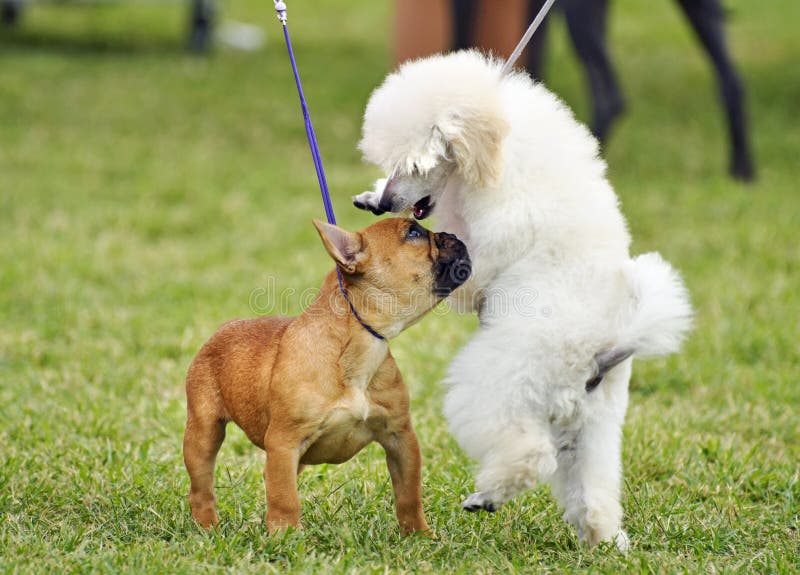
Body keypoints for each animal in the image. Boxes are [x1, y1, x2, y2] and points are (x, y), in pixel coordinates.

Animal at [183, 217, 468, 536]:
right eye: (414, 233)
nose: (452, 234)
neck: (358, 346)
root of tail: (224, 328)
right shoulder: (284, 442)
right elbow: (286, 499)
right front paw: (285, 537)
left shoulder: (400, 437)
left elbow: (409, 494)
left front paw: (418, 535)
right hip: (204, 433)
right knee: (202, 487)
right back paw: (208, 528)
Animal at [354, 51, 692, 552]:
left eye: (416, 163)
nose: (388, 201)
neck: (496, 148)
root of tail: (603, 351)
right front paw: (370, 194)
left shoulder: (490, 236)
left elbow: (464, 259)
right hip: (592, 423)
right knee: (591, 489)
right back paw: (603, 539)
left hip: (501, 386)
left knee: (533, 453)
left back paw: (489, 496)